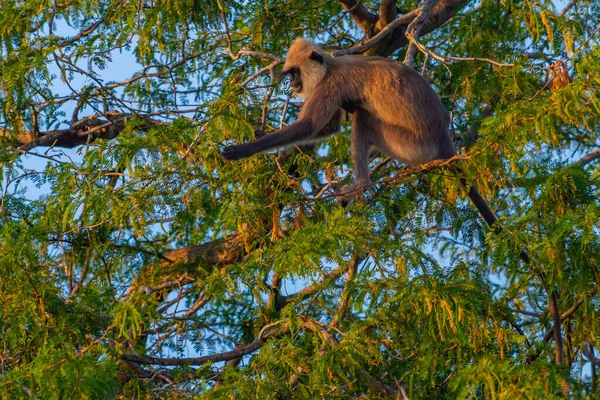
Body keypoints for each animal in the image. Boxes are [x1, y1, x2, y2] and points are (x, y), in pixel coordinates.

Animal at [224, 36, 528, 262]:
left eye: (295, 73)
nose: (293, 83)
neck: (331, 66)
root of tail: (443, 134)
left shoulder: (330, 84)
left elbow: (309, 126)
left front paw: (242, 150)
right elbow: (327, 128)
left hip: (411, 144)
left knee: (362, 117)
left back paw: (360, 186)